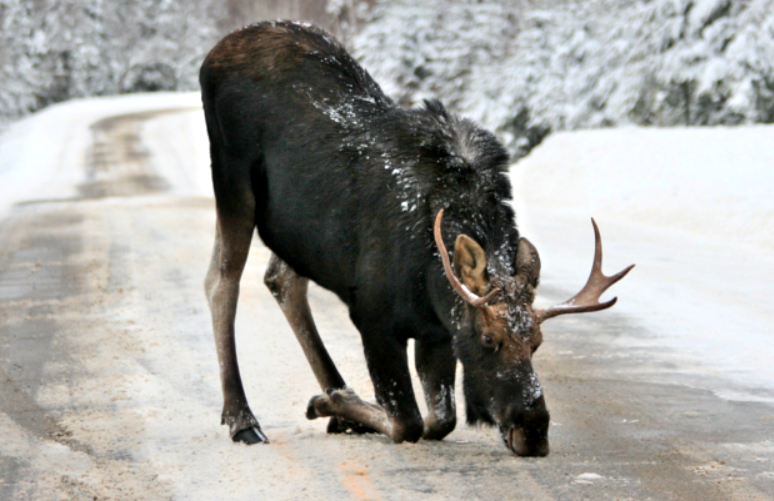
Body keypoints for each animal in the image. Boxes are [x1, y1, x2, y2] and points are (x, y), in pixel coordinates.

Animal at [199, 21, 632, 456]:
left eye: (537, 342)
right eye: (488, 338)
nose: (535, 431)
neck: (429, 275)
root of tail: (213, 54)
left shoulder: (435, 332)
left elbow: (440, 419)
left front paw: (338, 404)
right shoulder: (373, 318)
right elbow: (406, 422)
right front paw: (332, 402)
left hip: (295, 232)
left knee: (281, 281)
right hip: (233, 183)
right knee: (222, 282)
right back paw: (243, 418)